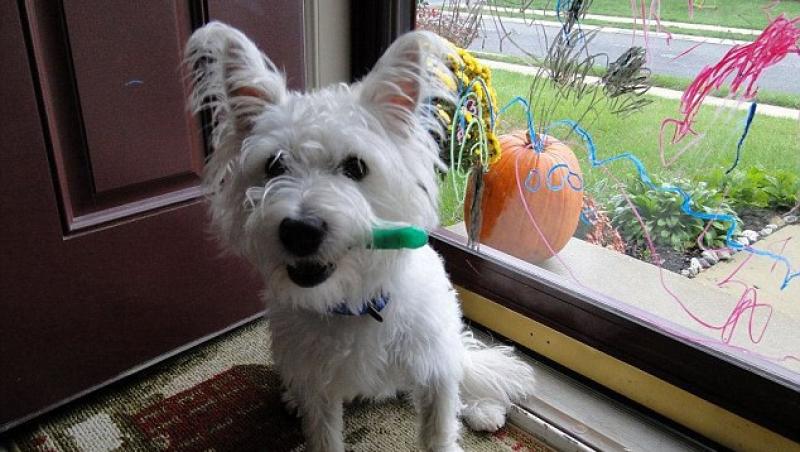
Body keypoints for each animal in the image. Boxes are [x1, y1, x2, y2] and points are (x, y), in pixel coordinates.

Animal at [187, 22, 536, 452]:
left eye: (356, 167)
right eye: (274, 164)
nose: (300, 231)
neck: (354, 301)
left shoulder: (434, 370)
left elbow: (439, 427)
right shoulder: (318, 387)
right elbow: (324, 435)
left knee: (465, 366)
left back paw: (483, 408)